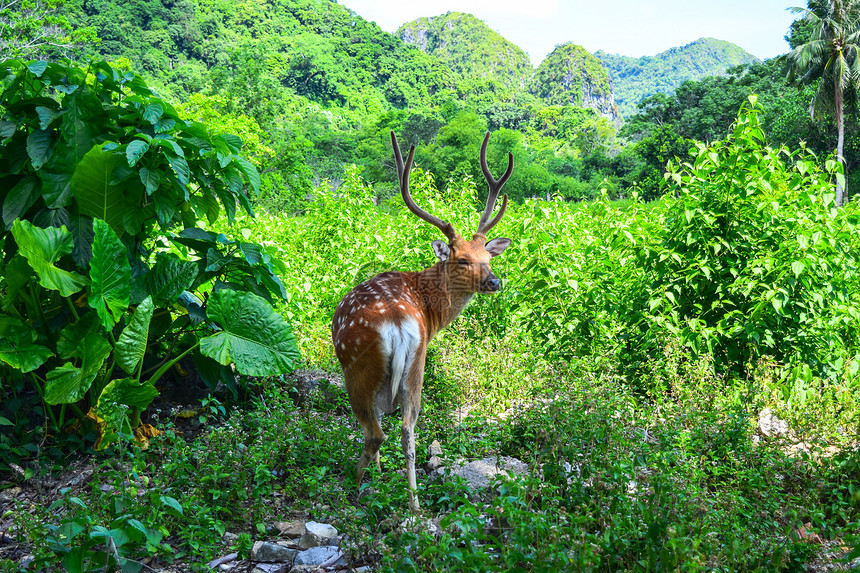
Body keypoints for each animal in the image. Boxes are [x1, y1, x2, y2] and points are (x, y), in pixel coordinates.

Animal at [332, 130, 512, 510]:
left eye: (487, 256)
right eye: (462, 259)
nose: (494, 281)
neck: (431, 310)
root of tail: (398, 321)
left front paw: (376, 474)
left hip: (358, 367)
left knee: (375, 432)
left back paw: (355, 486)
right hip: (417, 364)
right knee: (408, 427)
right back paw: (414, 503)